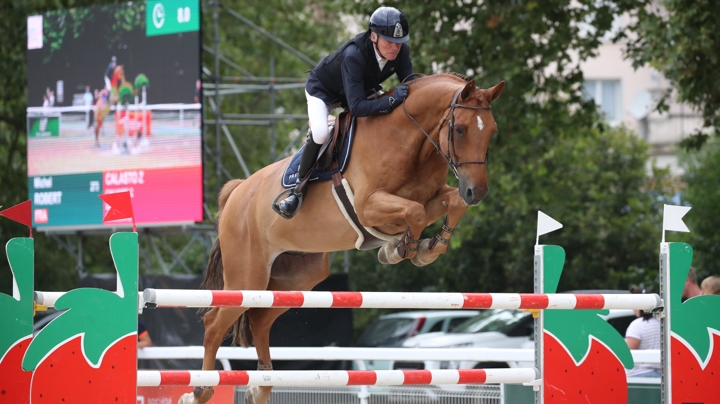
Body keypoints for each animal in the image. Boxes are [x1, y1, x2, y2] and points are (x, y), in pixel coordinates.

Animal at [180, 73, 504, 404]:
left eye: (492, 131)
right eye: (460, 129)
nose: (478, 192)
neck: (410, 140)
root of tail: (237, 191)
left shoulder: (430, 196)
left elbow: (451, 203)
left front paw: (426, 247)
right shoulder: (368, 206)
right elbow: (414, 212)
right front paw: (402, 250)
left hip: (298, 277)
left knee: (260, 321)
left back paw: (261, 387)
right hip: (248, 277)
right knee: (214, 323)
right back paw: (200, 392)